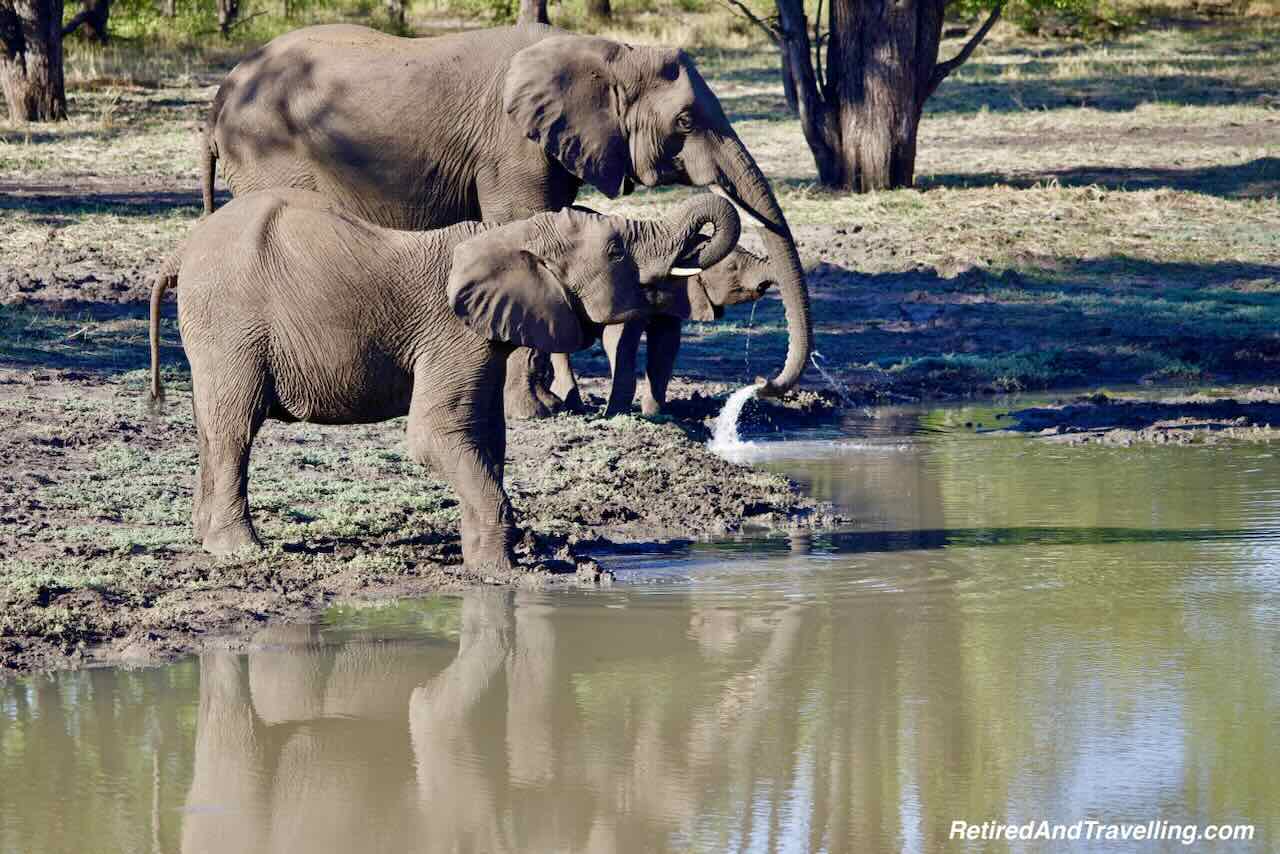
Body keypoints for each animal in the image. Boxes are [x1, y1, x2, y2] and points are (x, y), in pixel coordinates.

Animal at [147, 190, 742, 571]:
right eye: (617, 250)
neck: (511, 235)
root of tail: (181, 251)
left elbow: (486, 438)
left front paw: (492, 560)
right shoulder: (451, 333)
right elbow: (436, 435)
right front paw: (502, 572)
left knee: (211, 428)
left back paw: (205, 539)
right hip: (231, 323)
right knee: (235, 429)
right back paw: (239, 551)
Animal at [596, 243, 768, 417]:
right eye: (732, 267)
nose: (763, 284)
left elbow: (666, 342)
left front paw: (655, 415)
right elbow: (617, 339)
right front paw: (616, 414)